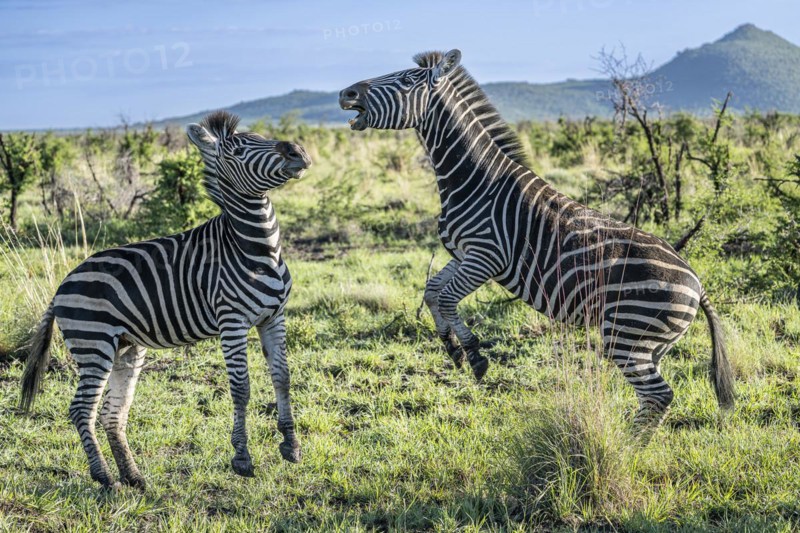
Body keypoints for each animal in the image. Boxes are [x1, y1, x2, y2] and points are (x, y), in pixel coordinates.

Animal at [19, 111, 311, 488]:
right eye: (236, 151)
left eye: (261, 136)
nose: (296, 151)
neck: (259, 248)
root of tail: (61, 287)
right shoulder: (231, 322)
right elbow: (241, 387)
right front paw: (242, 458)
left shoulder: (274, 317)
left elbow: (282, 377)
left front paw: (291, 446)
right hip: (93, 343)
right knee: (82, 409)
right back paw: (104, 477)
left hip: (125, 347)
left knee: (113, 412)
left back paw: (132, 476)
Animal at [339, 50, 734, 428]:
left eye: (406, 80)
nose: (346, 94)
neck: (476, 179)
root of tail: (698, 284)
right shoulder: (463, 253)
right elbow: (433, 291)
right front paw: (452, 348)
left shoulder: (486, 255)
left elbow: (448, 297)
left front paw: (475, 355)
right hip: (651, 344)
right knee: (653, 399)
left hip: (626, 334)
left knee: (658, 395)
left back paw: (628, 448)